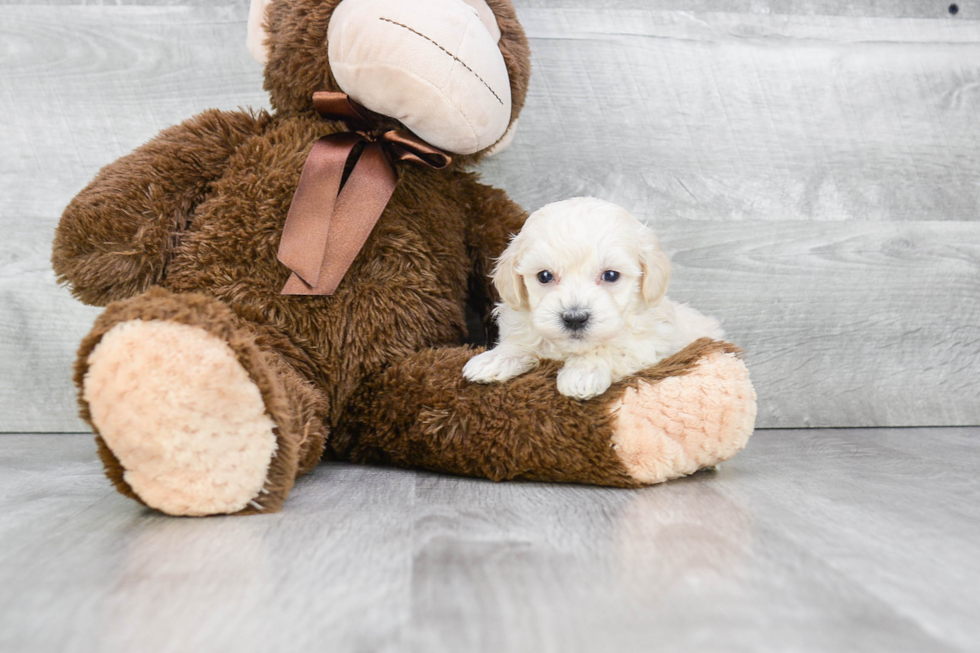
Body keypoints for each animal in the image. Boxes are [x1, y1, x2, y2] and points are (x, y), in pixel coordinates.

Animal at [464, 195, 724, 398]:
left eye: (610, 275)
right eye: (544, 276)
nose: (575, 318)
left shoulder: (649, 343)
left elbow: (611, 349)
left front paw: (581, 374)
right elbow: (520, 342)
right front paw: (493, 360)